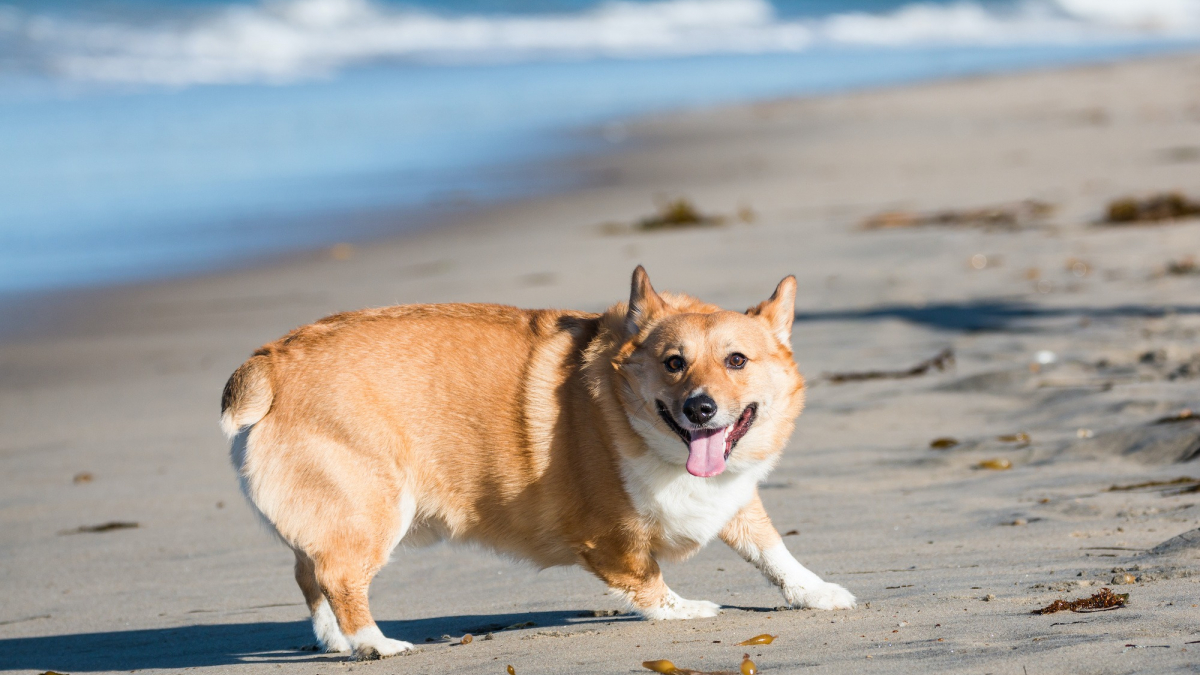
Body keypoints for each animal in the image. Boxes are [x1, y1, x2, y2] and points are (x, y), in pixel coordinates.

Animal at [223, 266, 854, 658]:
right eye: (674, 363)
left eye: (737, 360)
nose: (699, 409)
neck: (632, 418)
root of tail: (271, 362)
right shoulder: (612, 535)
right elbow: (646, 578)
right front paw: (682, 610)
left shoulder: (733, 495)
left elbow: (773, 550)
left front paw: (817, 593)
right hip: (374, 508)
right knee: (337, 576)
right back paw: (375, 644)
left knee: (309, 571)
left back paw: (335, 642)